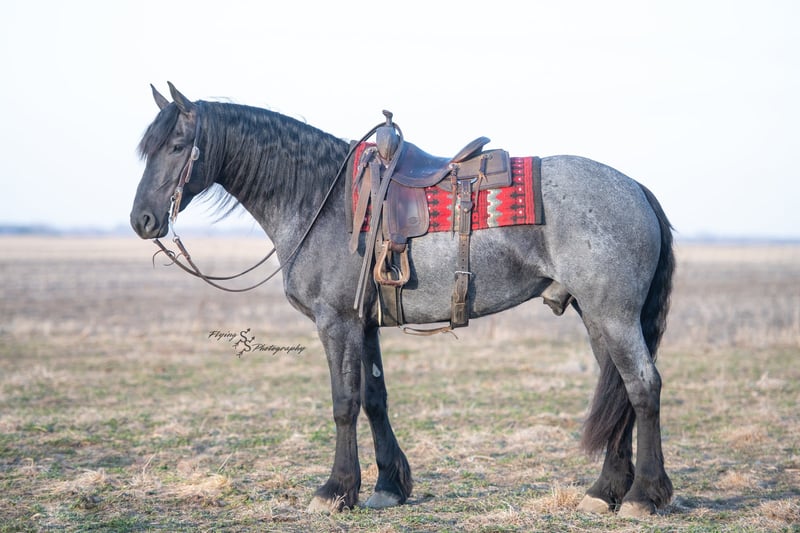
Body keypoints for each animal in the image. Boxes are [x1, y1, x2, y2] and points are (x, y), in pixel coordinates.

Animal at [130, 83, 674, 518]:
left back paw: (642, 496)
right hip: (596, 316)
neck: (318, 200)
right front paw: (389, 486)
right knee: (619, 392)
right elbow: (374, 399)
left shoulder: (336, 322)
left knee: (643, 387)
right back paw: (605, 491)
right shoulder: (364, 323)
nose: (143, 220)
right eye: (148, 149)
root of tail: (635, 188)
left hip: (613, 314)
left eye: (177, 145)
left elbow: (344, 403)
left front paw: (335, 490)